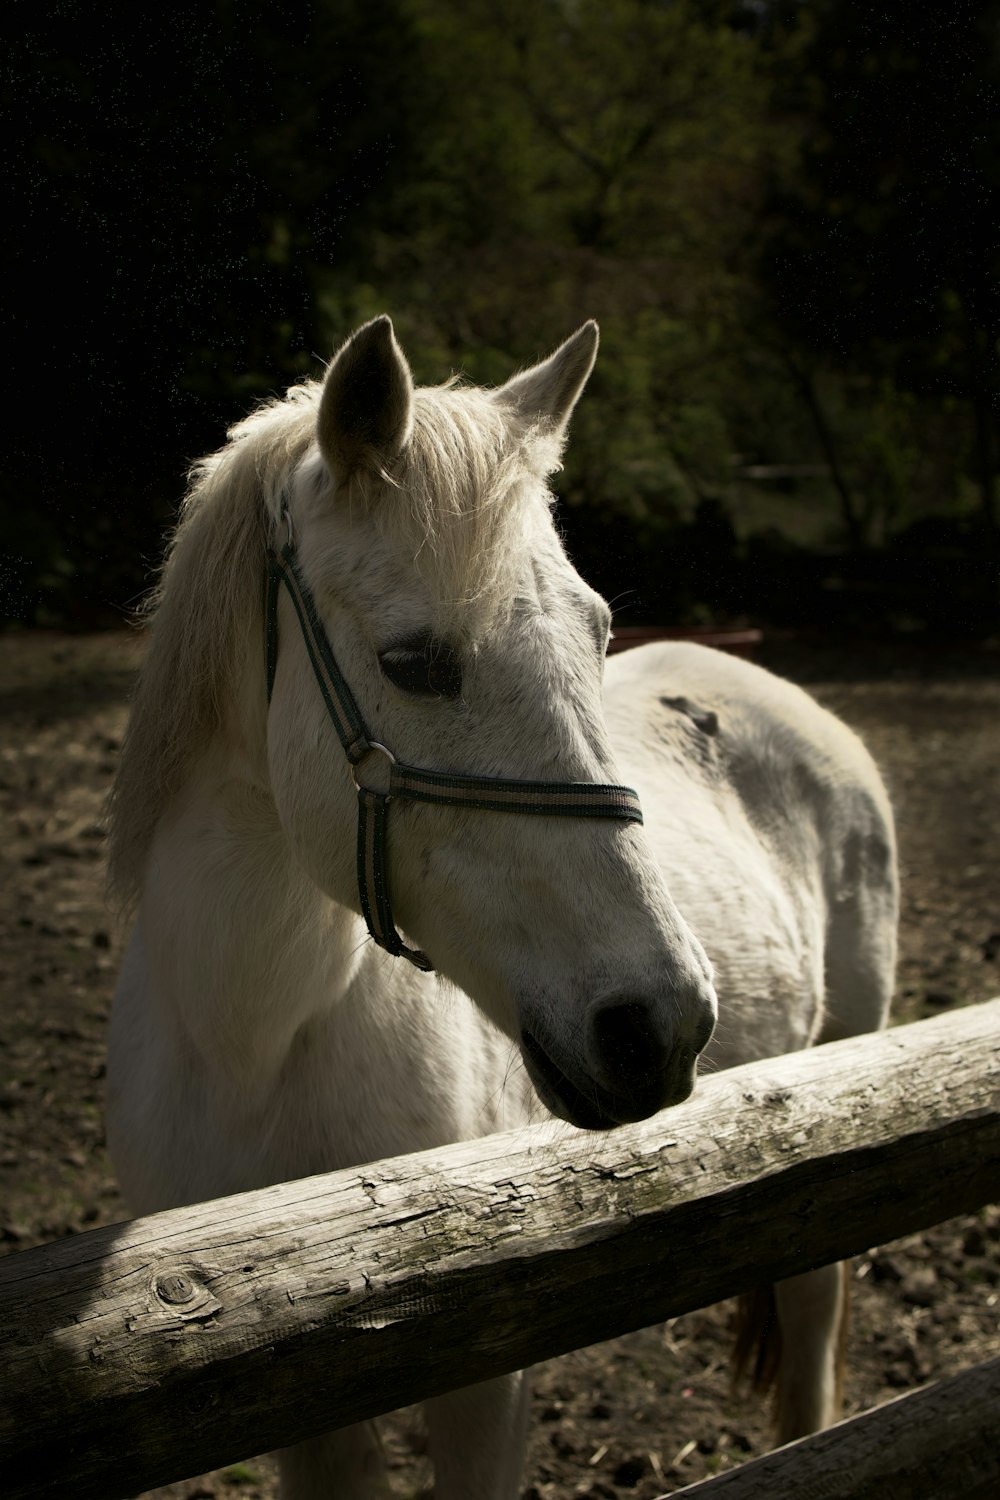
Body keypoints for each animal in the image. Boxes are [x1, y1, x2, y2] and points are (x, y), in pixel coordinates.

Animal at [107, 319, 899, 1500]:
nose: (659, 1026)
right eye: (412, 663)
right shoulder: (301, 1409)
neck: (250, 1045)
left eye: (598, 633)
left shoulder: (484, 1377)